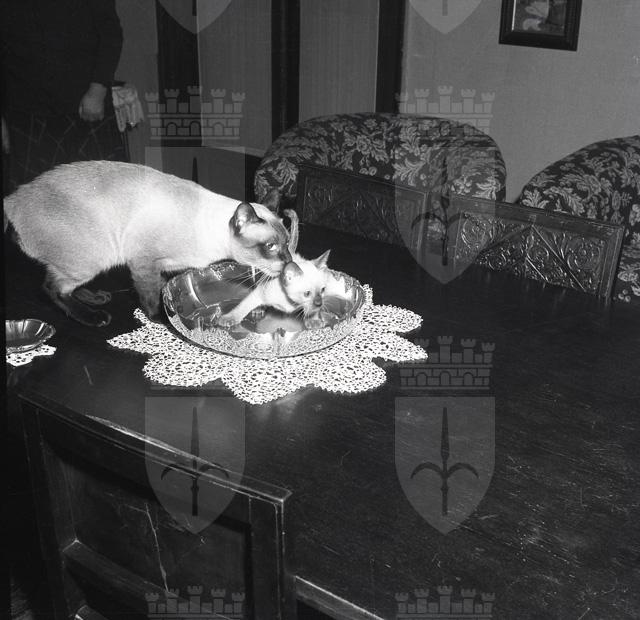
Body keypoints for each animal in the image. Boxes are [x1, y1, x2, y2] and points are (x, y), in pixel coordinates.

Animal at [4, 160, 292, 327]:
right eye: (271, 247)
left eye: (287, 243)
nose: (289, 261)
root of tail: (12, 198)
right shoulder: (144, 263)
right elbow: (152, 296)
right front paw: (163, 320)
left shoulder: (163, 267)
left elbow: (163, 289)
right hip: (92, 257)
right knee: (51, 288)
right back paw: (94, 317)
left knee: (62, 284)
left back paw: (96, 298)